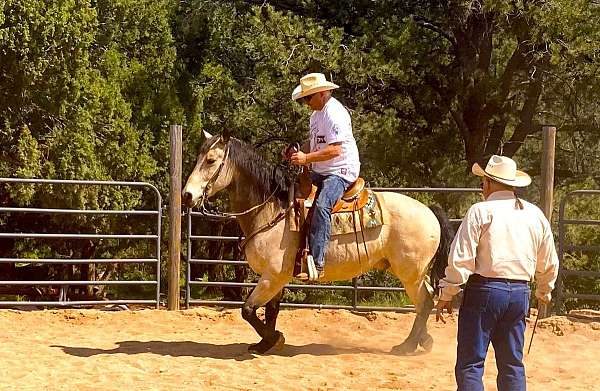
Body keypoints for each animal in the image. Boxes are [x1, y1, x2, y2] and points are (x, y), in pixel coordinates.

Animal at [183, 132, 454, 356]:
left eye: (210, 160)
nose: (187, 195)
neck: (273, 208)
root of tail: (429, 210)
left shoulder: (272, 276)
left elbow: (247, 310)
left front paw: (275, 339)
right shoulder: (276, 277)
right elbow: (271, 310)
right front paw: (264, 344)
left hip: (410, 274)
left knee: (425, 303)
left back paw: (407, 345)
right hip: (415, 274)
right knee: (425, 302)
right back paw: (423, 341)